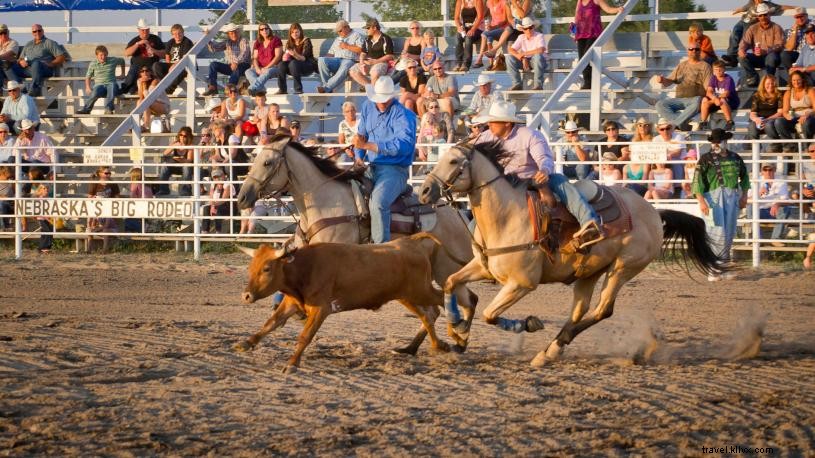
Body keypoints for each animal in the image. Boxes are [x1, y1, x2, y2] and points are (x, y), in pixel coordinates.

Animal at [236, 134, 478, 352]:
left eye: (267, 163)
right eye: (254, 160)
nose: (241, 198)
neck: (326, 203)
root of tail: (459, 213)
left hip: (445, 269)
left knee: (466, 299)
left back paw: (460, 338)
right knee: (439, 309)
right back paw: (413, 347)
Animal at [420, 141, 728, 366]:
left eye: (453, 162)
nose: (424, 190)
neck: (507, 216)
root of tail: (654, 213)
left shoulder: (522, 283)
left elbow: (489, 315)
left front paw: (529, 323)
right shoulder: (483, 267)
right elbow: (451, 283)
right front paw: (457, 328)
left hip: (623, 268)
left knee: (603, 309)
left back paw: (553, 348)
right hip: (588, 273)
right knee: (580, 312)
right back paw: (550, 350)